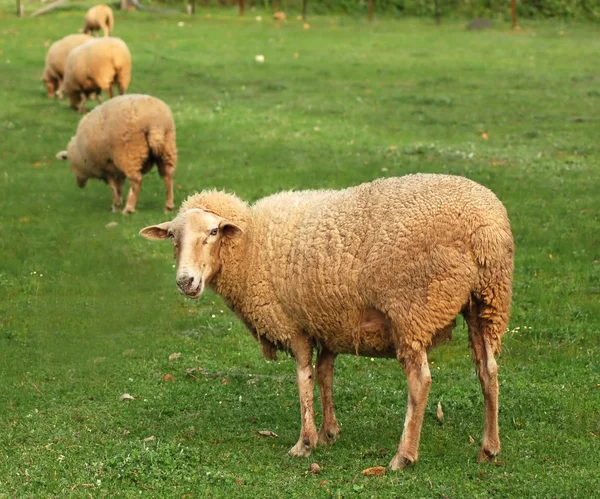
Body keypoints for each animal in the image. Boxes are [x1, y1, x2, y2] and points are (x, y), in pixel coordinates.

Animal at [138, 175, 512, 468]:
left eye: (214, 231)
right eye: (172, 237)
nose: (185, 281)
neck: (251, 244)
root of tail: (483, 227)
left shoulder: (294, 325)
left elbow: (304, 378)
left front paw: (305, 442)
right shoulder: (329, 322)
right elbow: (325, 374)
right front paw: (330, 432)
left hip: (412, 308)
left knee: (420, 381)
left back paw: (403, 456)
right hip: (486, 302)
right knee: (488, 369)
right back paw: (489, 448)